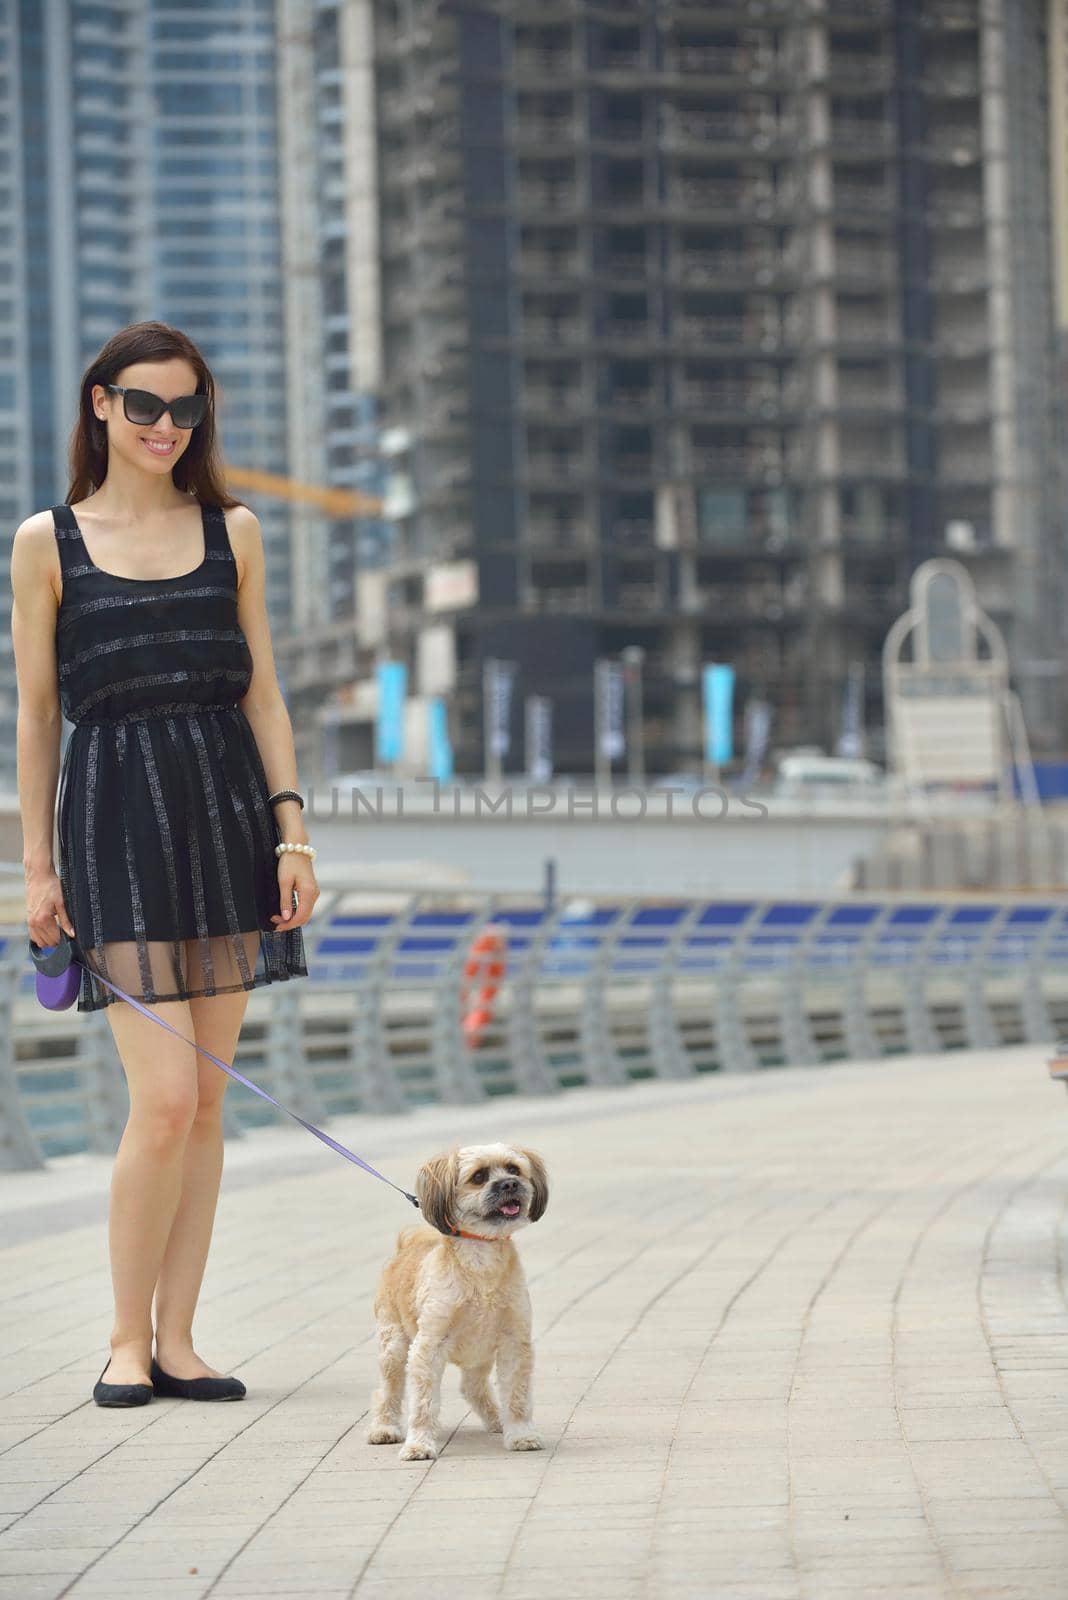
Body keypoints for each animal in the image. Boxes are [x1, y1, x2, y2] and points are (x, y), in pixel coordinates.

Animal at [367, 1139, 549, 1465]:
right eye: (478, 1177)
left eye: (514, 1169)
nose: (510, 1184)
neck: (480, 1265)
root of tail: (406, 1245)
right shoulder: (428, 1347)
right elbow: (423, 1404)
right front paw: (419, 1444)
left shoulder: (514, 1342)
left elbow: (517, 1395)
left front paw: (520, 1434)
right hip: (394, 1346)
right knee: (387, 1390)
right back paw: (384, 1428)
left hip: (480, 1354)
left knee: (472, 1387)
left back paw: (497, 1419)